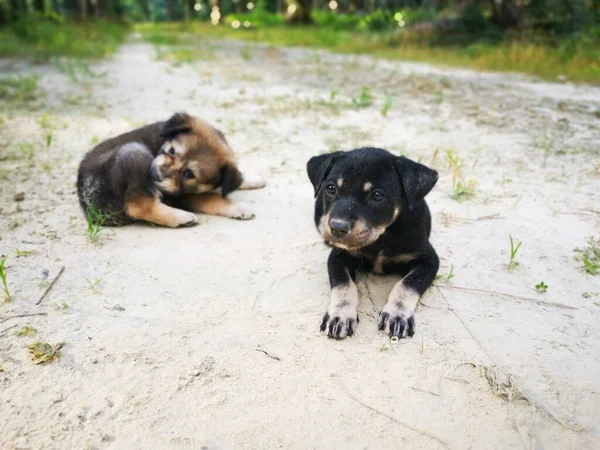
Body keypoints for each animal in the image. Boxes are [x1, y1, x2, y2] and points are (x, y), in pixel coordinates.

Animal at [77, 111, 264, 225]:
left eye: (189, 174)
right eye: (172, 151)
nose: (154, 175)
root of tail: (90, 209)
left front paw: (253, 179)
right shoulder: (181, 196)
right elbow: (212, 198)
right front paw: (238, 207)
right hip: (134, 151)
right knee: (139, 205)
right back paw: (181, 217)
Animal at [308, 149, 438, 342]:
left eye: (377, 195)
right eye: (331, 188)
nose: (337, 228)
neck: (381, 237)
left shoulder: (428, 259)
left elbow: (408, 284)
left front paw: (397, 314)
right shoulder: (338, 256)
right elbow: (343, 284)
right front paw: (340, 315)